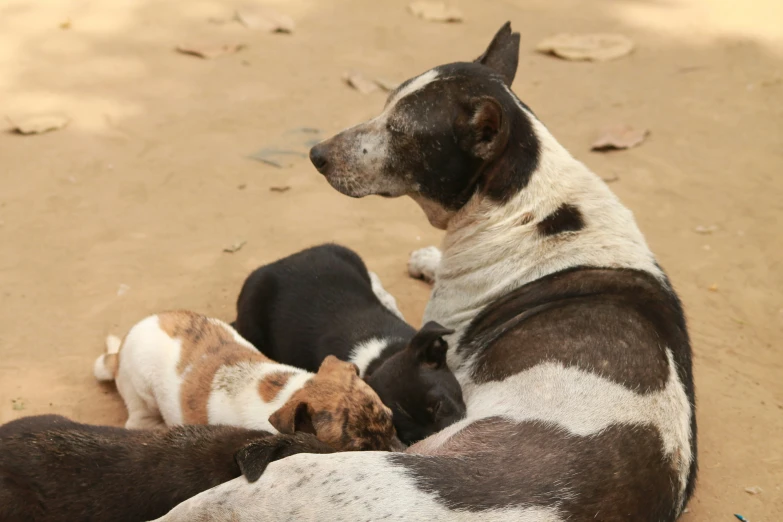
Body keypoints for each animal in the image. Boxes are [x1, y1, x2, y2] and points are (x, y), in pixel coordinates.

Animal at [95, 308, 402, 450]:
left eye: (391, 422)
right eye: (361, 450)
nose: (398, 450)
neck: (291, 393)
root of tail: (120, 350)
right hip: (142, 393)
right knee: (138, 418)